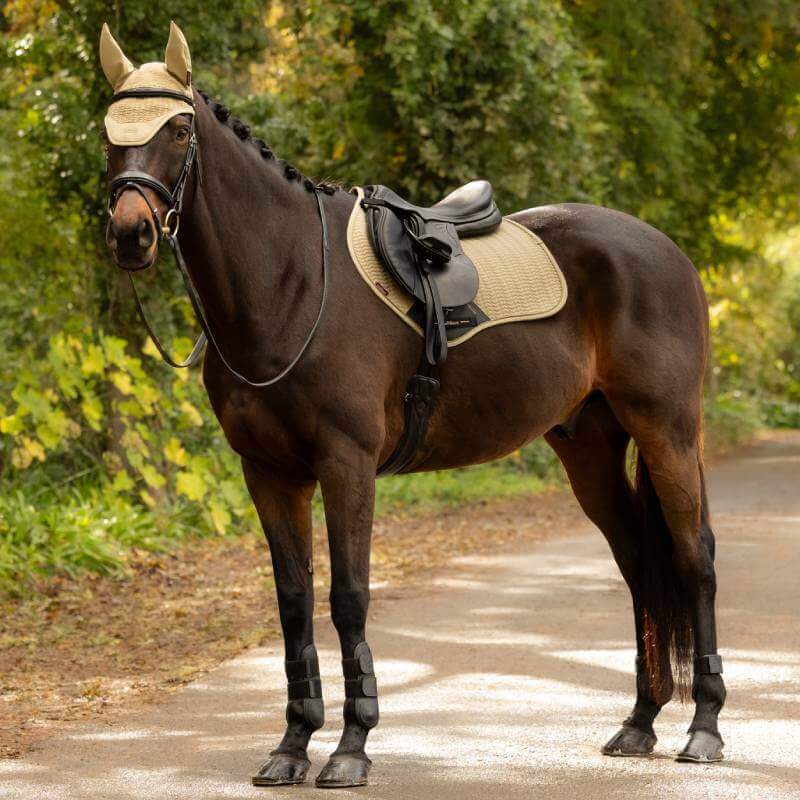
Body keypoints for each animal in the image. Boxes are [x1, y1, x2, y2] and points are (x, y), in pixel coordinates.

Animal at [100, 23, 726, 789]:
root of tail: (668, 253)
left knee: (694, 558)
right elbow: (293, 601)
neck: (292, 279)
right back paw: (639, 722)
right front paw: (291, 746)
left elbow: (348, 597)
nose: (131, 233)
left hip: (669, 432)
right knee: (640, 564)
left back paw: (703, 728)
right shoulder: (270, 473)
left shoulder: (346, 464)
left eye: (181, 129)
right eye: (108, 132)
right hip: (590, 450)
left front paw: (350, 747)